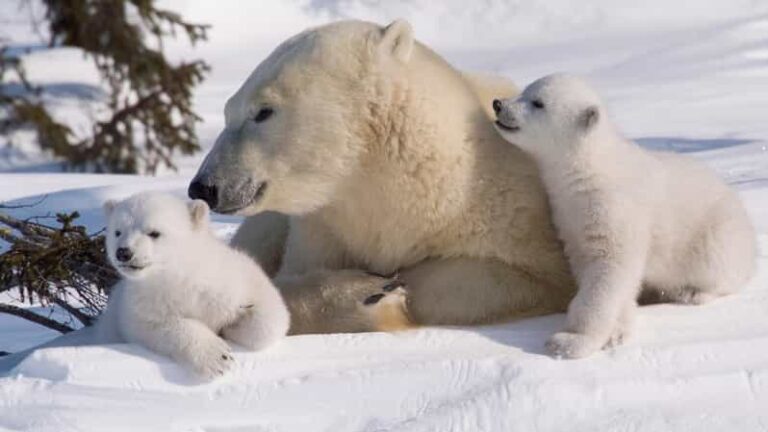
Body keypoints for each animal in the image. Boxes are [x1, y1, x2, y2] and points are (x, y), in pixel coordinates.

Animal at [96, 192, 288, 378]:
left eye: (154, 232)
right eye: (118, 232)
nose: (123, 252)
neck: (182, 277)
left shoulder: (232, 280)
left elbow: (271, 315)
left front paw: (232, 326)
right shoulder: (141, 304)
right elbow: (156, 326)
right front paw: (218, 357)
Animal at [189, 18, 576, 332]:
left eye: (263, 111)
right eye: (228, 110)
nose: (204, 186)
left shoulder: (510, 214)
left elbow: (517, 277)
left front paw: (387, 289)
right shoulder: (323, 228)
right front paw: (367, 293)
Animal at [492, 74, 756, 358]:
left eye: (538, 103)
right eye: (524, 90)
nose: (498, 104)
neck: (590, 170)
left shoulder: (614, 210)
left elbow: (609, 270)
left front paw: (570, 341)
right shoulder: (570, 217)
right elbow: (595, 269)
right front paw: (617, 332)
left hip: (718, 232)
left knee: (717, 266)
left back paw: (694, 293)